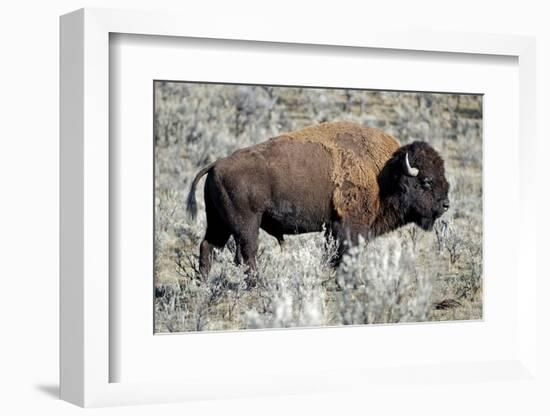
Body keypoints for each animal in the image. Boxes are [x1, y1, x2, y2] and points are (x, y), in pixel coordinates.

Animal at [188, 121, 450, 286]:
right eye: (426, 181)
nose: (446, 205)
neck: (383, 173)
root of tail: (216, 164)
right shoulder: (351, 226)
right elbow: (347, 254)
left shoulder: (334, 227)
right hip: (246, 224)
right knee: (247, 251)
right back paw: (256, 283)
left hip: (219, 223)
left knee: (208, 246)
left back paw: (203, 283)